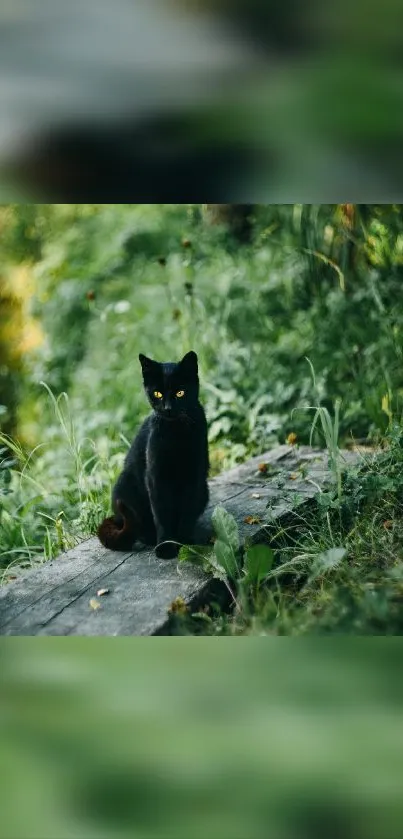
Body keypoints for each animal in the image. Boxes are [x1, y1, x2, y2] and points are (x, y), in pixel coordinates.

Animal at [98, 352, 210, 560]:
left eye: (180, 393)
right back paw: (149, 538)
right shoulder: (156, 477)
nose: (167, 408)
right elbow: (162, 514)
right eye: (157, 393)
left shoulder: (195, 476)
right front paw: (166, 546)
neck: (176, 432)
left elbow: (187, 512)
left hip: (205, 490)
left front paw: (185, 543)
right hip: (125, 485)